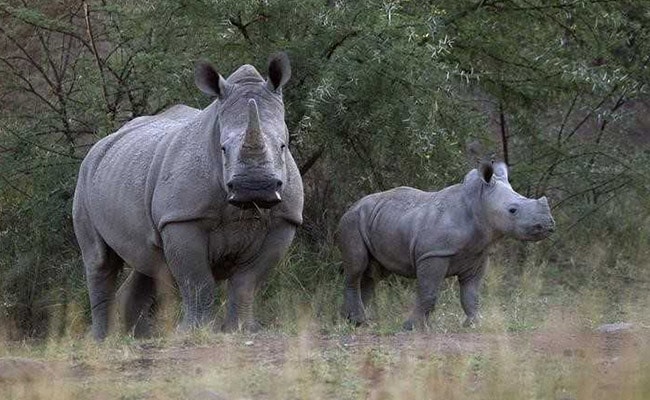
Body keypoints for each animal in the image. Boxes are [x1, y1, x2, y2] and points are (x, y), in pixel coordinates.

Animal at [73, 51, 302, 340]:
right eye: (223, 149)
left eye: (283, 146)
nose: (254, 187)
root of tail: (101, 143)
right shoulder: (181, 218)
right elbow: (197, 280)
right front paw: (194, 331)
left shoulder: (284, 221)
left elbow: (247, 282)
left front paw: (242, 329)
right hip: (85, 177)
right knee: (100, 260)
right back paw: (103, 340)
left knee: (149, 260)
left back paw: (141, 338)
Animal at [336, 159, 556, 332]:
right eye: (512, 210)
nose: (548, 225)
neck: (478, 203)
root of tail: (352, 206)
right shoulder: (434, 254)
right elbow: (429, 293)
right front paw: (412, 327)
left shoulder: (478, 255)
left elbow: (471, 295)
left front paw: (474, 324)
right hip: (351, 222)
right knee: (357, 267)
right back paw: (359, 322)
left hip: (374, 220)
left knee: (373, 273)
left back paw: (356, 321)